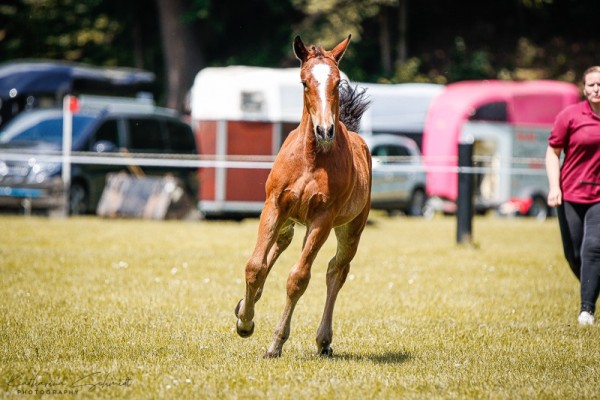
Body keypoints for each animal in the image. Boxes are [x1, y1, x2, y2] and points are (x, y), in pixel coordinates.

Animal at [234, 36, 370, 358]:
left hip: (350, 228)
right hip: (289, 219)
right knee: (279, 245)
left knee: (336, 270)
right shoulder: (274, 205)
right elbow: (254, 266)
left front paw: (275, 343)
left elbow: (298, 278)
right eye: (304, 82)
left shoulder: (323, 218)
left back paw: (323, 339)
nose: (325, 130)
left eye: (337, 82)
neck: (311, 158)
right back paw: (248, 302)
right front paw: (245, 322)